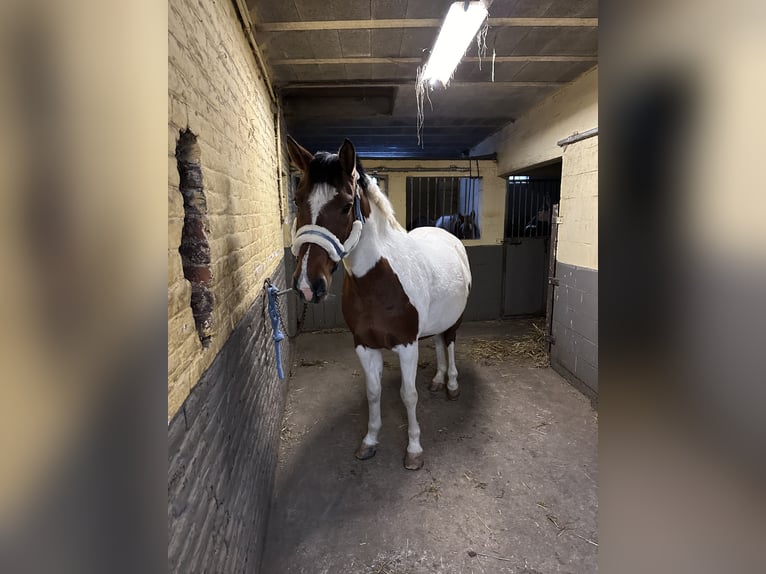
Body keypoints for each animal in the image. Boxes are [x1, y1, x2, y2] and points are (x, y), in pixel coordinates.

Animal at [286, 137, 472, 470]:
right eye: (297, 199)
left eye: (347, 206)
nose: (308, 285)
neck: (378, 282)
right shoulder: (364, 345)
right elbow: (373, 393)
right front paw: (369, 441)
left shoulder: (407, 345)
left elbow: (408, 395)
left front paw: (414, 450)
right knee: (439, 342)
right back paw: (438, 380)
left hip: (455, 320)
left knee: (449, 344)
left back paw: (451, 385)